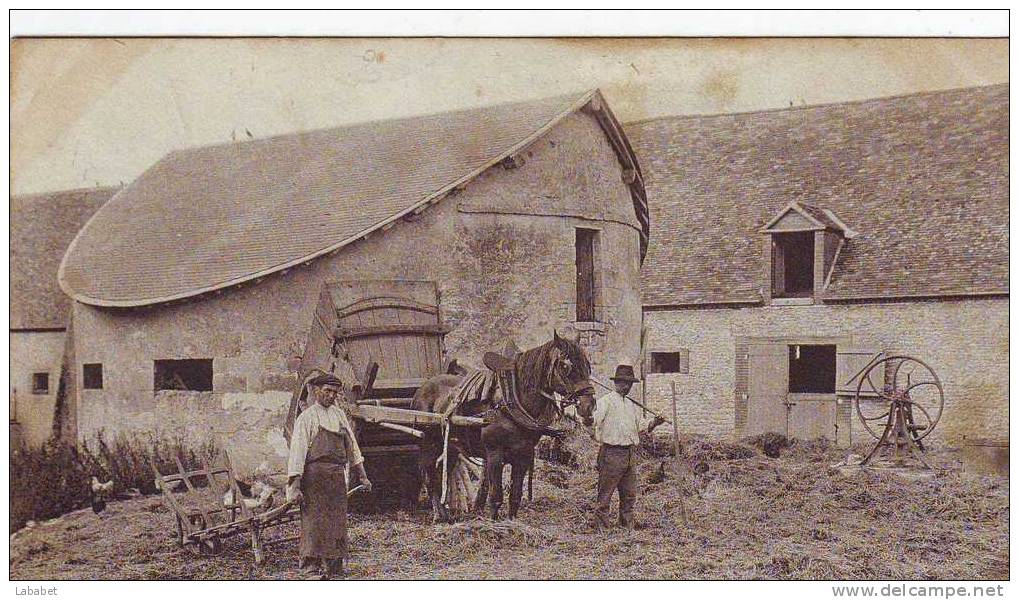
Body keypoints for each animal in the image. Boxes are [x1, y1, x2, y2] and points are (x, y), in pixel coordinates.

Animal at [409, 330, 595, 521]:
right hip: (429, 444)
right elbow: (496, 496)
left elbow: (515, 496)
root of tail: (422, 388)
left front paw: (512, 520)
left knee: (443, 473)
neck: (510, 402)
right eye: (565, 366)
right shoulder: (494, 456)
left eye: (588, 366)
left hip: (451, 446)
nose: (589, 405)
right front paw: (494, 520)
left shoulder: (523, 456)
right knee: (429, 476)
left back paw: (446, 514)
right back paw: (439, 515)